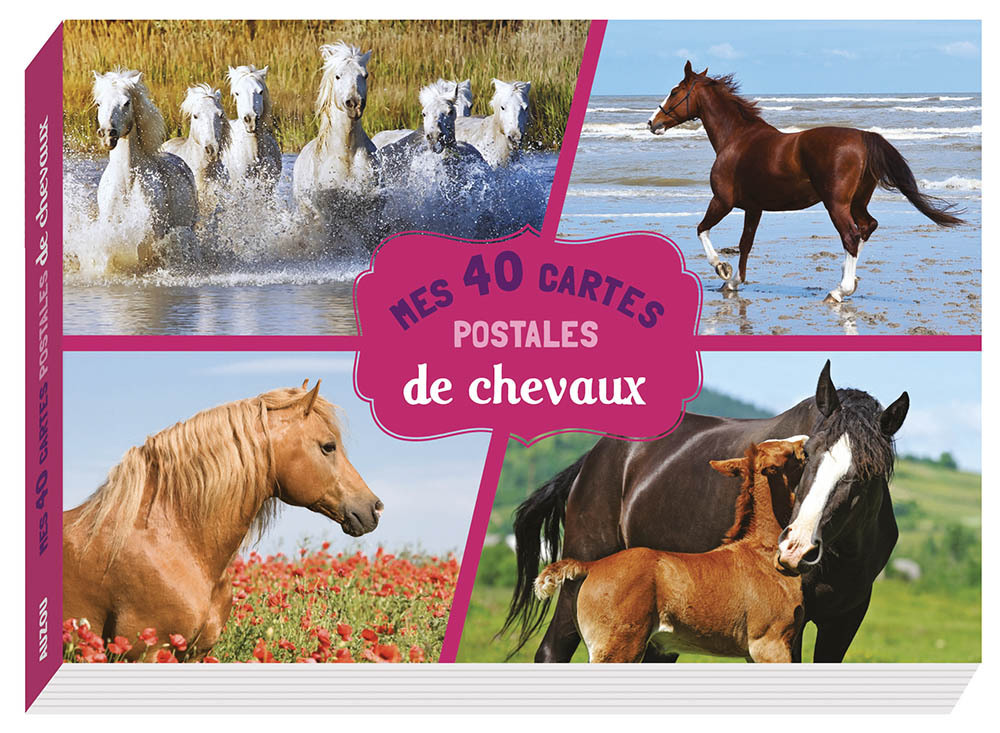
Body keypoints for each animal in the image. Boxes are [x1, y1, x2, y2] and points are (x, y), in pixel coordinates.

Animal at [535, 439, 807, 663]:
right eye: (787, 453)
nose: (803, 443)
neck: (762, 552)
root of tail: (591, 566)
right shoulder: (769, 643)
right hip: (615, 649)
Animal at [646, 61, 964, 303]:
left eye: (675, 91)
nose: (652, 123)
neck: (736, 139)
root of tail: (863, 137)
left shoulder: (723, 201)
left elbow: (702, 230)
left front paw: (722, 269)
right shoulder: (753, 208)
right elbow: (745, 243)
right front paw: (734, 281)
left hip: (836, 204)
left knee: (851, 236)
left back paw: (839, 291)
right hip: (857, 202)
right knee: (867, 227)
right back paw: (847, 281)